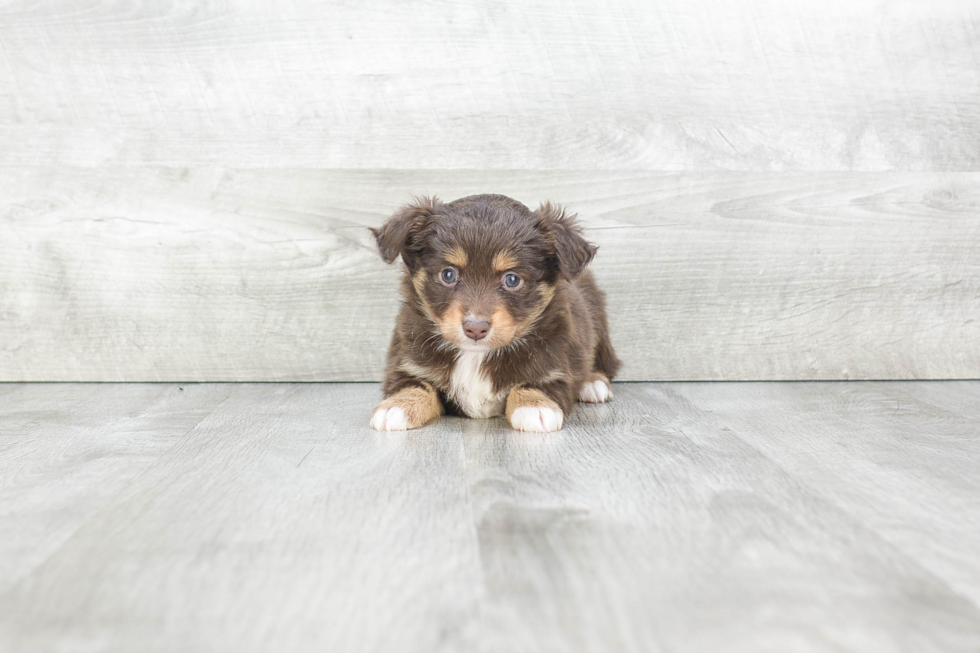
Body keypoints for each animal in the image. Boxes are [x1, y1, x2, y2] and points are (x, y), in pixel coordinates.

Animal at [368, 194, 620, 432]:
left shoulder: (556, 367)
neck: (476, 356)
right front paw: (397, 406)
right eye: (448, 274)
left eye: (512, 279)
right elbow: (414, 385)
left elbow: (533, 383)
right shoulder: (407, 363)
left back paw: (593, 384)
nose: (475, 328)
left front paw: (534, 406)